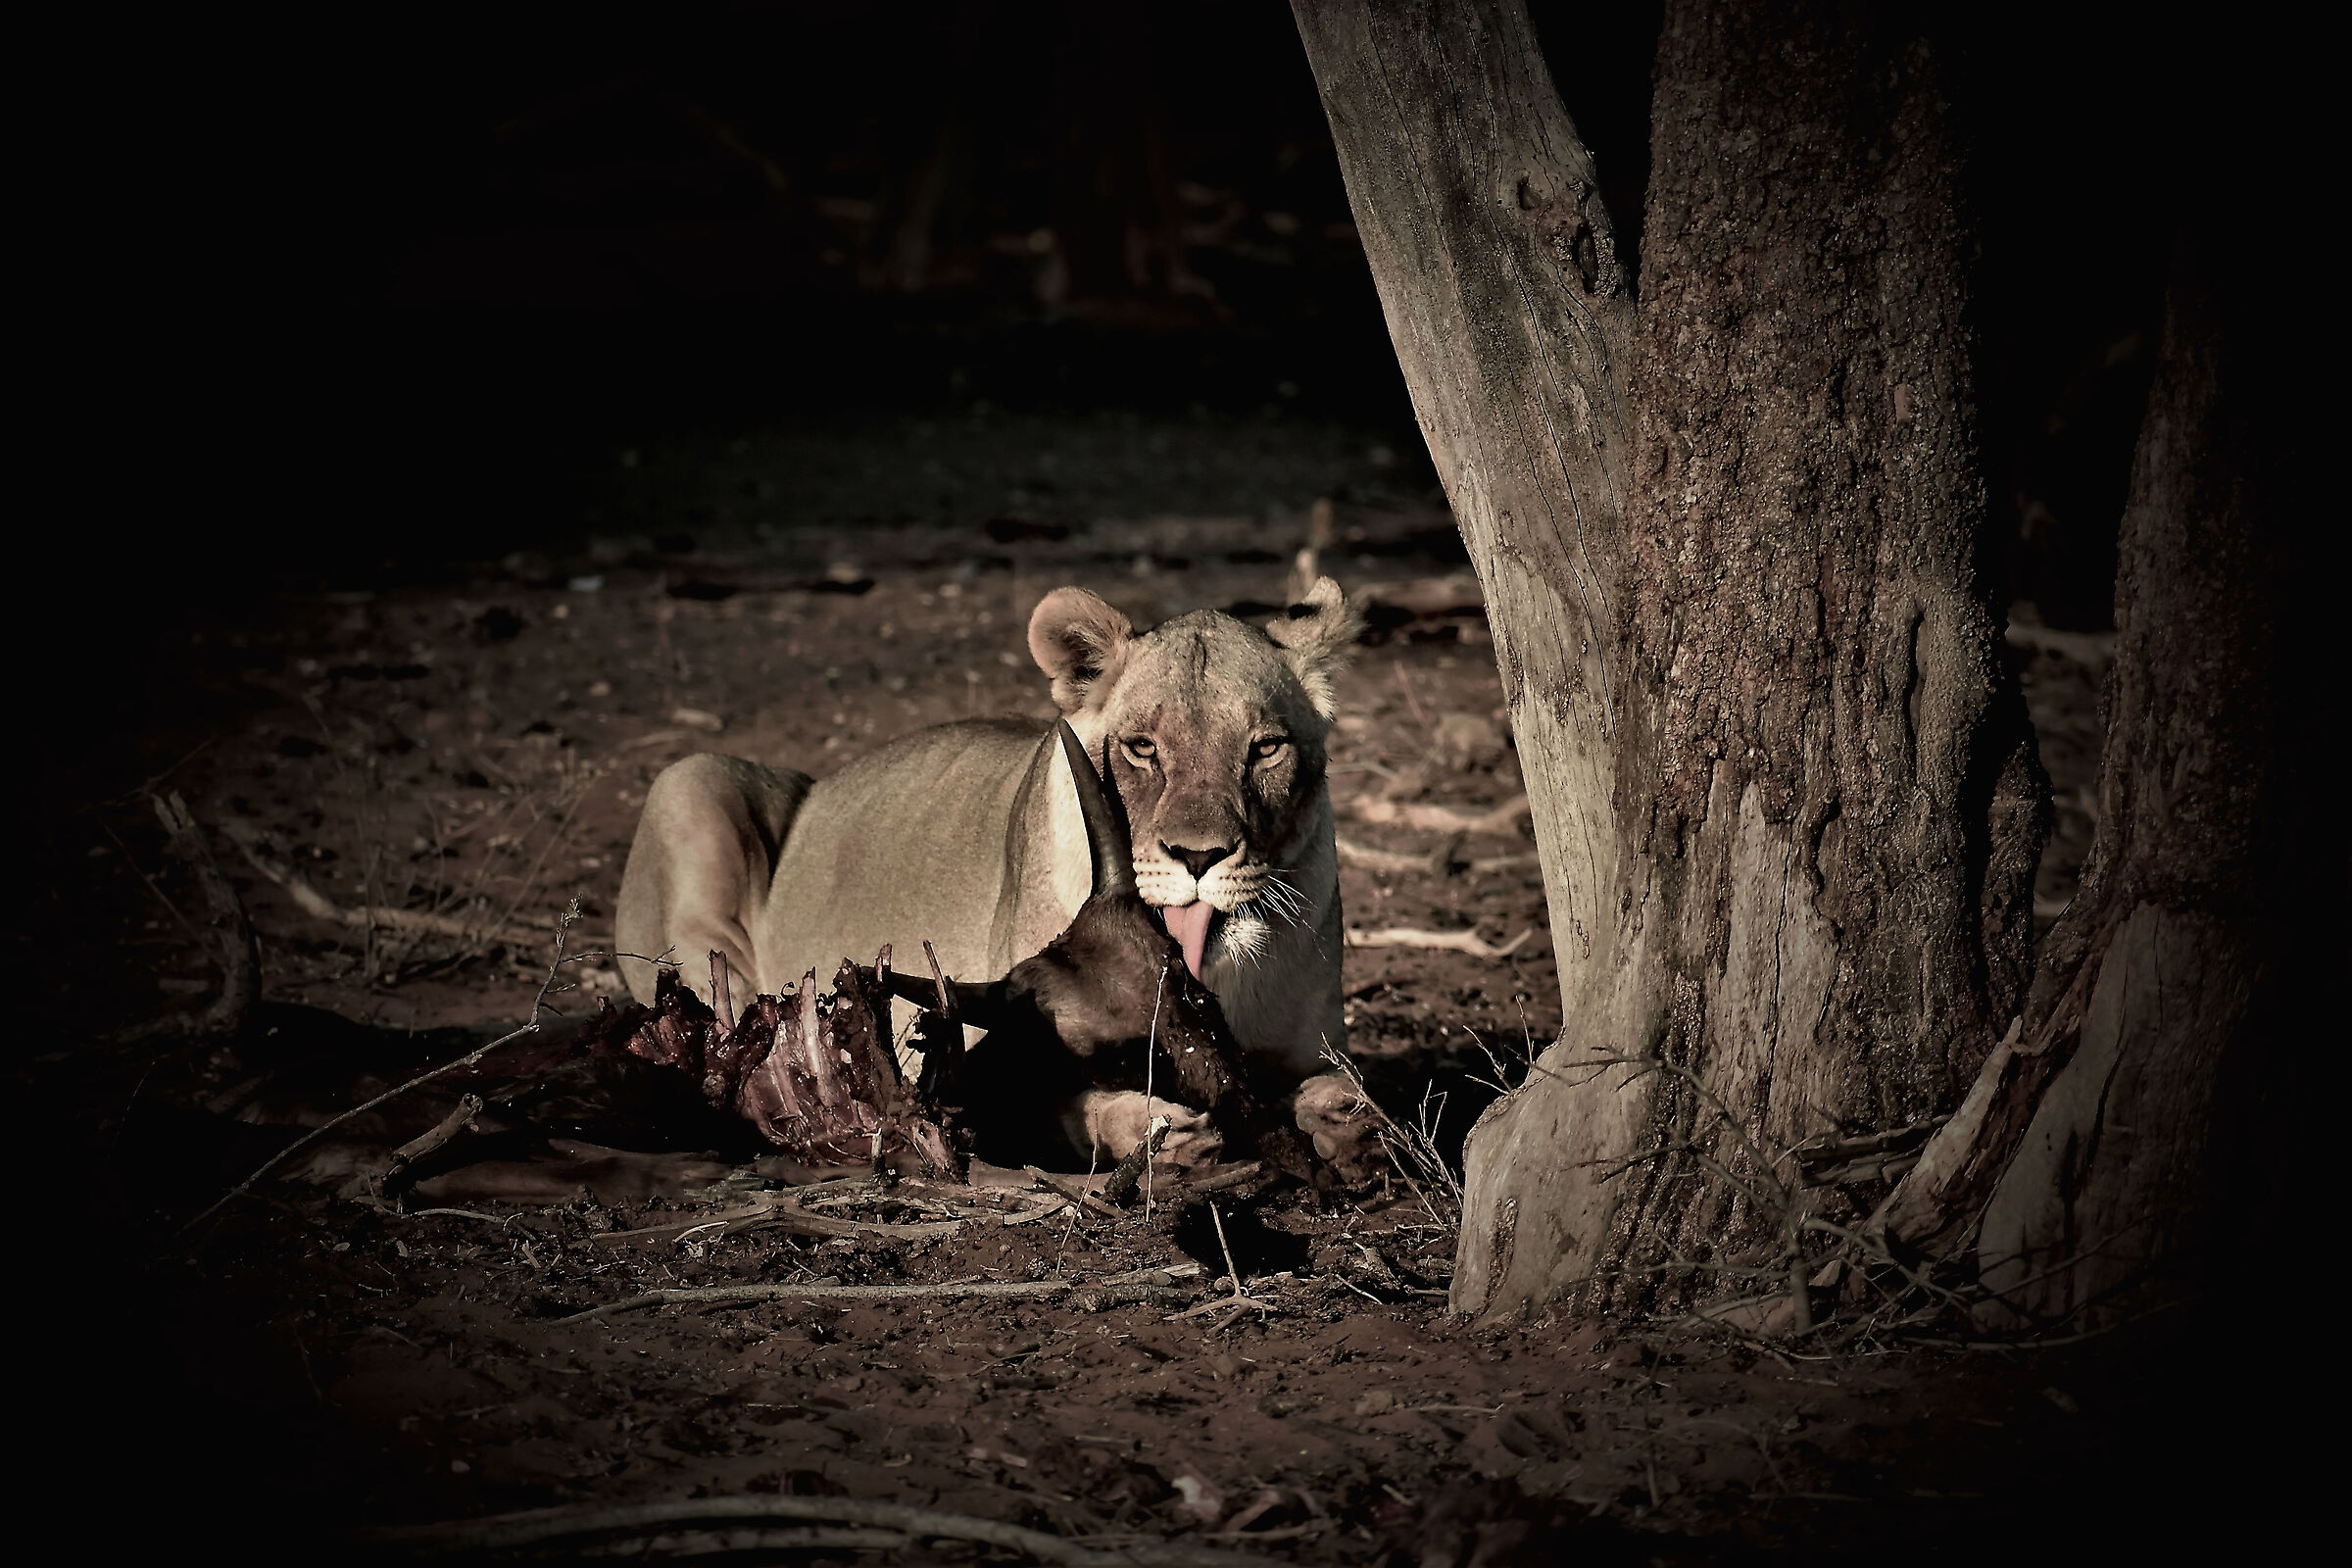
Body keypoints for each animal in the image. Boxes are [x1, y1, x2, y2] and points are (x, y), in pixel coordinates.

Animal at [613, 577, 1375, 1173]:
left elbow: (1336, 1087)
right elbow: (1077, 1108)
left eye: (1266, 748)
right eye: (1142, 748)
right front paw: (1160, 1130)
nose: (1198, 856)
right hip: (691, 782)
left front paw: (1340, 1114)